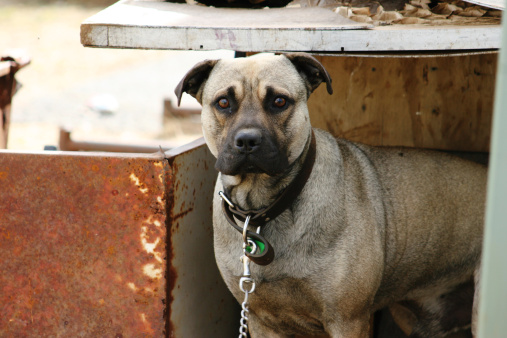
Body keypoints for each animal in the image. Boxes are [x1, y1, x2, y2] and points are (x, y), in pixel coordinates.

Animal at [176, 53, 488, 338]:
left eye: (279, 101)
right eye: (223, 103)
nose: (248, 141)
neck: (265, 208)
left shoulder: (348, 320)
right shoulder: (261, 320)